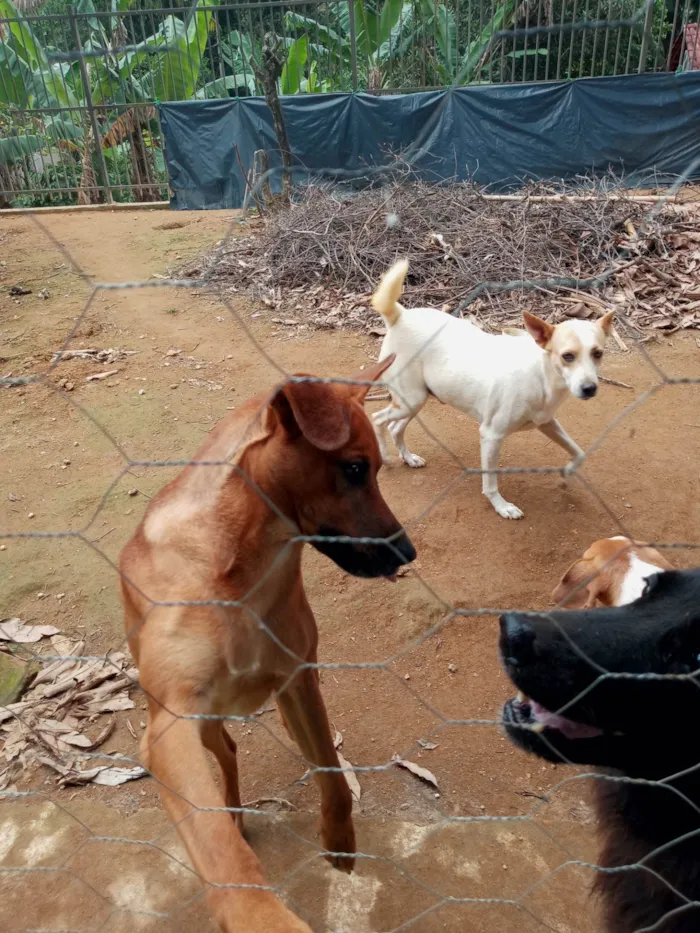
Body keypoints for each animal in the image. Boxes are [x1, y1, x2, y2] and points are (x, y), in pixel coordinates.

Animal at [120, 358, 416, 932]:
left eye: (375, 470)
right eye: (354, 468)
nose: (407, 552)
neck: (243, 569)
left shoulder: (300, 681)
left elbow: (332, 773)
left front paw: (340, 839)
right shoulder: (170, 728)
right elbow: (216, 846)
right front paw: (259, 914)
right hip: (200, 726)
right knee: (226, 757)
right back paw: (234, 812)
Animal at [372, 258, 612, 520]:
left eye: (597, 353)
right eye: (567, 356)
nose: (589, 388)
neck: (542, 374)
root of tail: (400, 316)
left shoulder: (547, 423)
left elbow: (578, 452)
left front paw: (567, 475)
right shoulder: (491, 435)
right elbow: (490, 482)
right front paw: (502, 506)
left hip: (416, 400)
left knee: (395, 427)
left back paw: (408, 458)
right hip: (411, 400)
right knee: (377, 419)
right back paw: (385, 457)